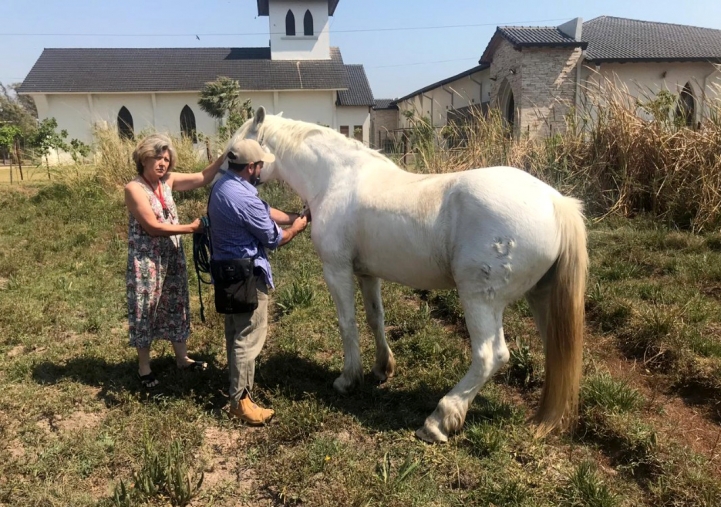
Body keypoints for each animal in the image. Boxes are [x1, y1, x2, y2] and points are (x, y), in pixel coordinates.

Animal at [233, 108, 588, 444]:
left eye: (233, 152)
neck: (337, 178)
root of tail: (556, 202)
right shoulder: (367, 274)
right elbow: (375, 318)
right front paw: (382, 368)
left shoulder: (337, 269)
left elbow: (348, 324)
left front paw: (348, 379)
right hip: (541, 297)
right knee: (554, 352)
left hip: (480, 300)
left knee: (491, 356)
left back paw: (439, 420)